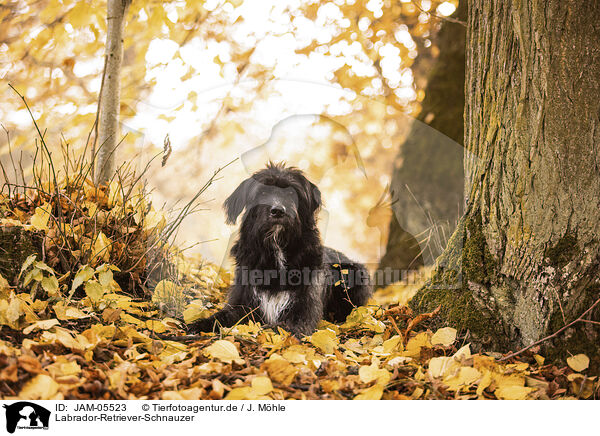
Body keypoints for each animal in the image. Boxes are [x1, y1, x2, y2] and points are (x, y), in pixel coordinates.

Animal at [188, 162, 372, 336]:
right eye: (262, 193)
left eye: (291, 193)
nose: (277, 211)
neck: (277, 248)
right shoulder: (243, 302)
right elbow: (222, 317)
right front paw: (198, 325)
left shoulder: (303, 308)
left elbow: (281, 328)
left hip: (356, 273)